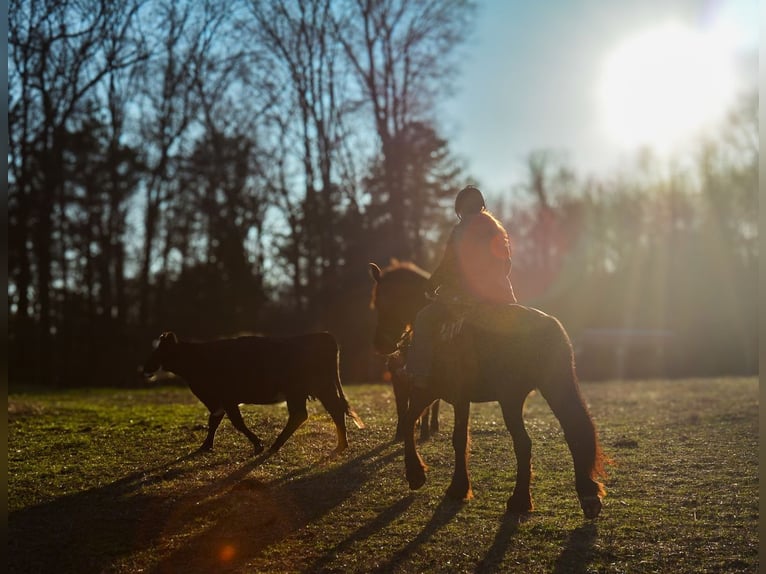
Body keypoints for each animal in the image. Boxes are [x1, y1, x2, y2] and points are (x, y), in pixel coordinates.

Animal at [368, 261, 607, 519]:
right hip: (551, 387)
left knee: (525, 443)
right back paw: (584, 496)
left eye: (382, 302)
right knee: (572, 432)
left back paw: (520, 500)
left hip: (511, 398)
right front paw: (450, 483)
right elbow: (444, 433)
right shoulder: (452, 398)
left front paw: (422, 476)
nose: (381, 344)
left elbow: (421, 425)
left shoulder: (433, 392)